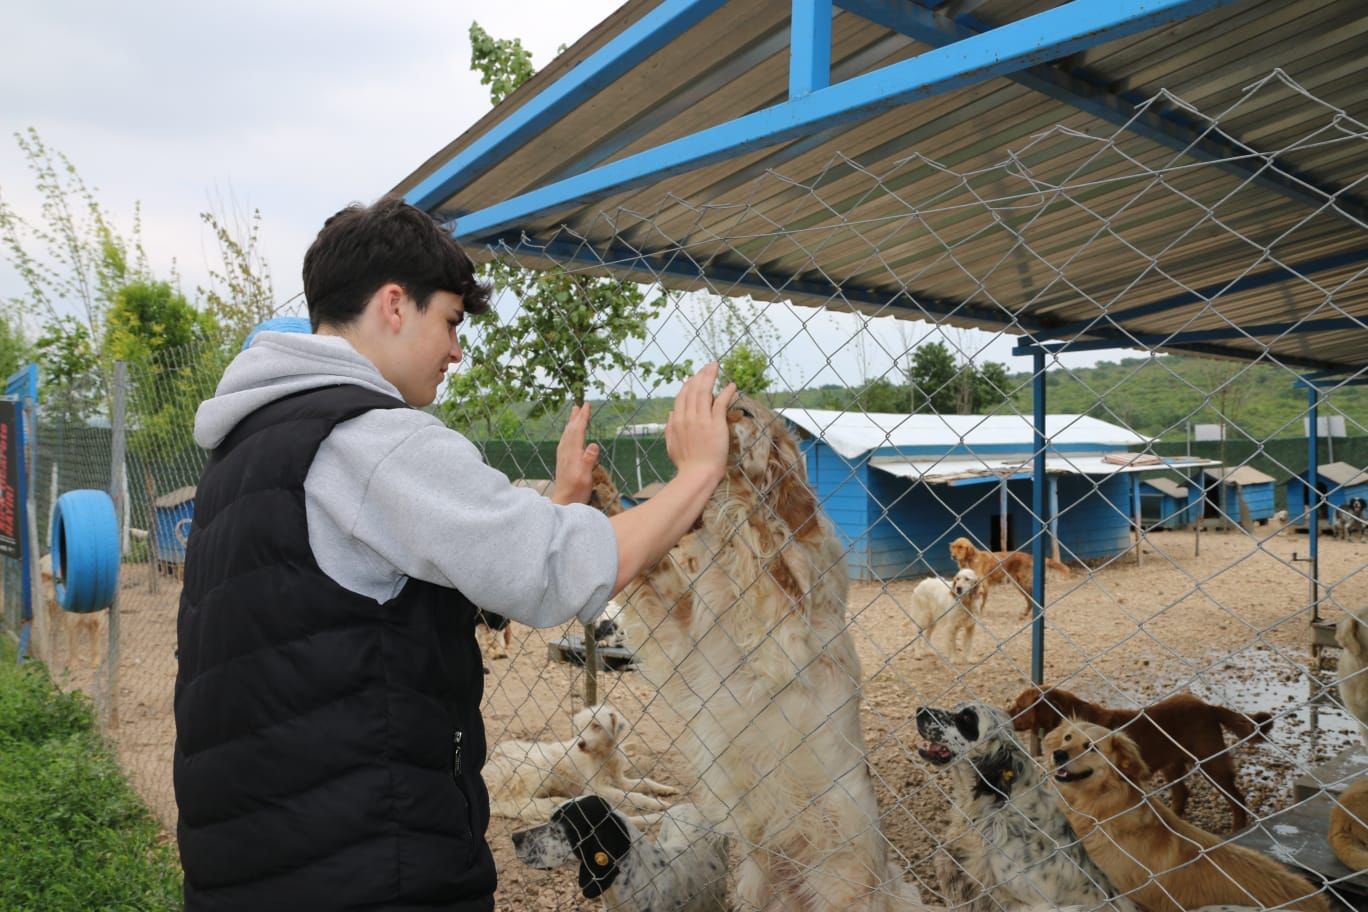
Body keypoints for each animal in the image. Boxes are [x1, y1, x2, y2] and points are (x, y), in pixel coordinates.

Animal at [481, 705, 678, 825]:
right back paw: (553, 802)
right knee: (516, 803)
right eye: (580, 728)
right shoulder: (596, 788)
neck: (604, 755)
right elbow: (629, 796)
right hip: (539, 763)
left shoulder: (620, 779)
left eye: (596, 726)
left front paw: (666, 789)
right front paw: (658, 803)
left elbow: (644, 783)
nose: (581, 744)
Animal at [1006, 689, 1269, 831]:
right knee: (1182, 793)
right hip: (1173, 765)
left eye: (1019, 706)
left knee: (1237, 799)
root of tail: (1209, 707)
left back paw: (1237, 829)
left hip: (1211, 764)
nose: (1003, 714)